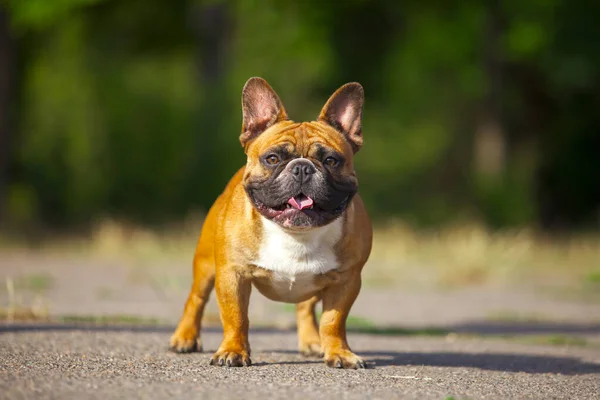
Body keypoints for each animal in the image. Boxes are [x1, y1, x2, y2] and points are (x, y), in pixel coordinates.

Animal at [169, 77, 372, 368]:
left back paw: (312, 342)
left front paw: (339, 353)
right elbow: (236, 317)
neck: (295, 234)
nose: (302, 167)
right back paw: (184, 338)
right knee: (195, 299)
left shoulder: (346, 280)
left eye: (331, 160)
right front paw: (233, 351)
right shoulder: (232, 275)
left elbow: (333, 321)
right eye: (273, 158)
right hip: (206, 264)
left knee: (305, 307)